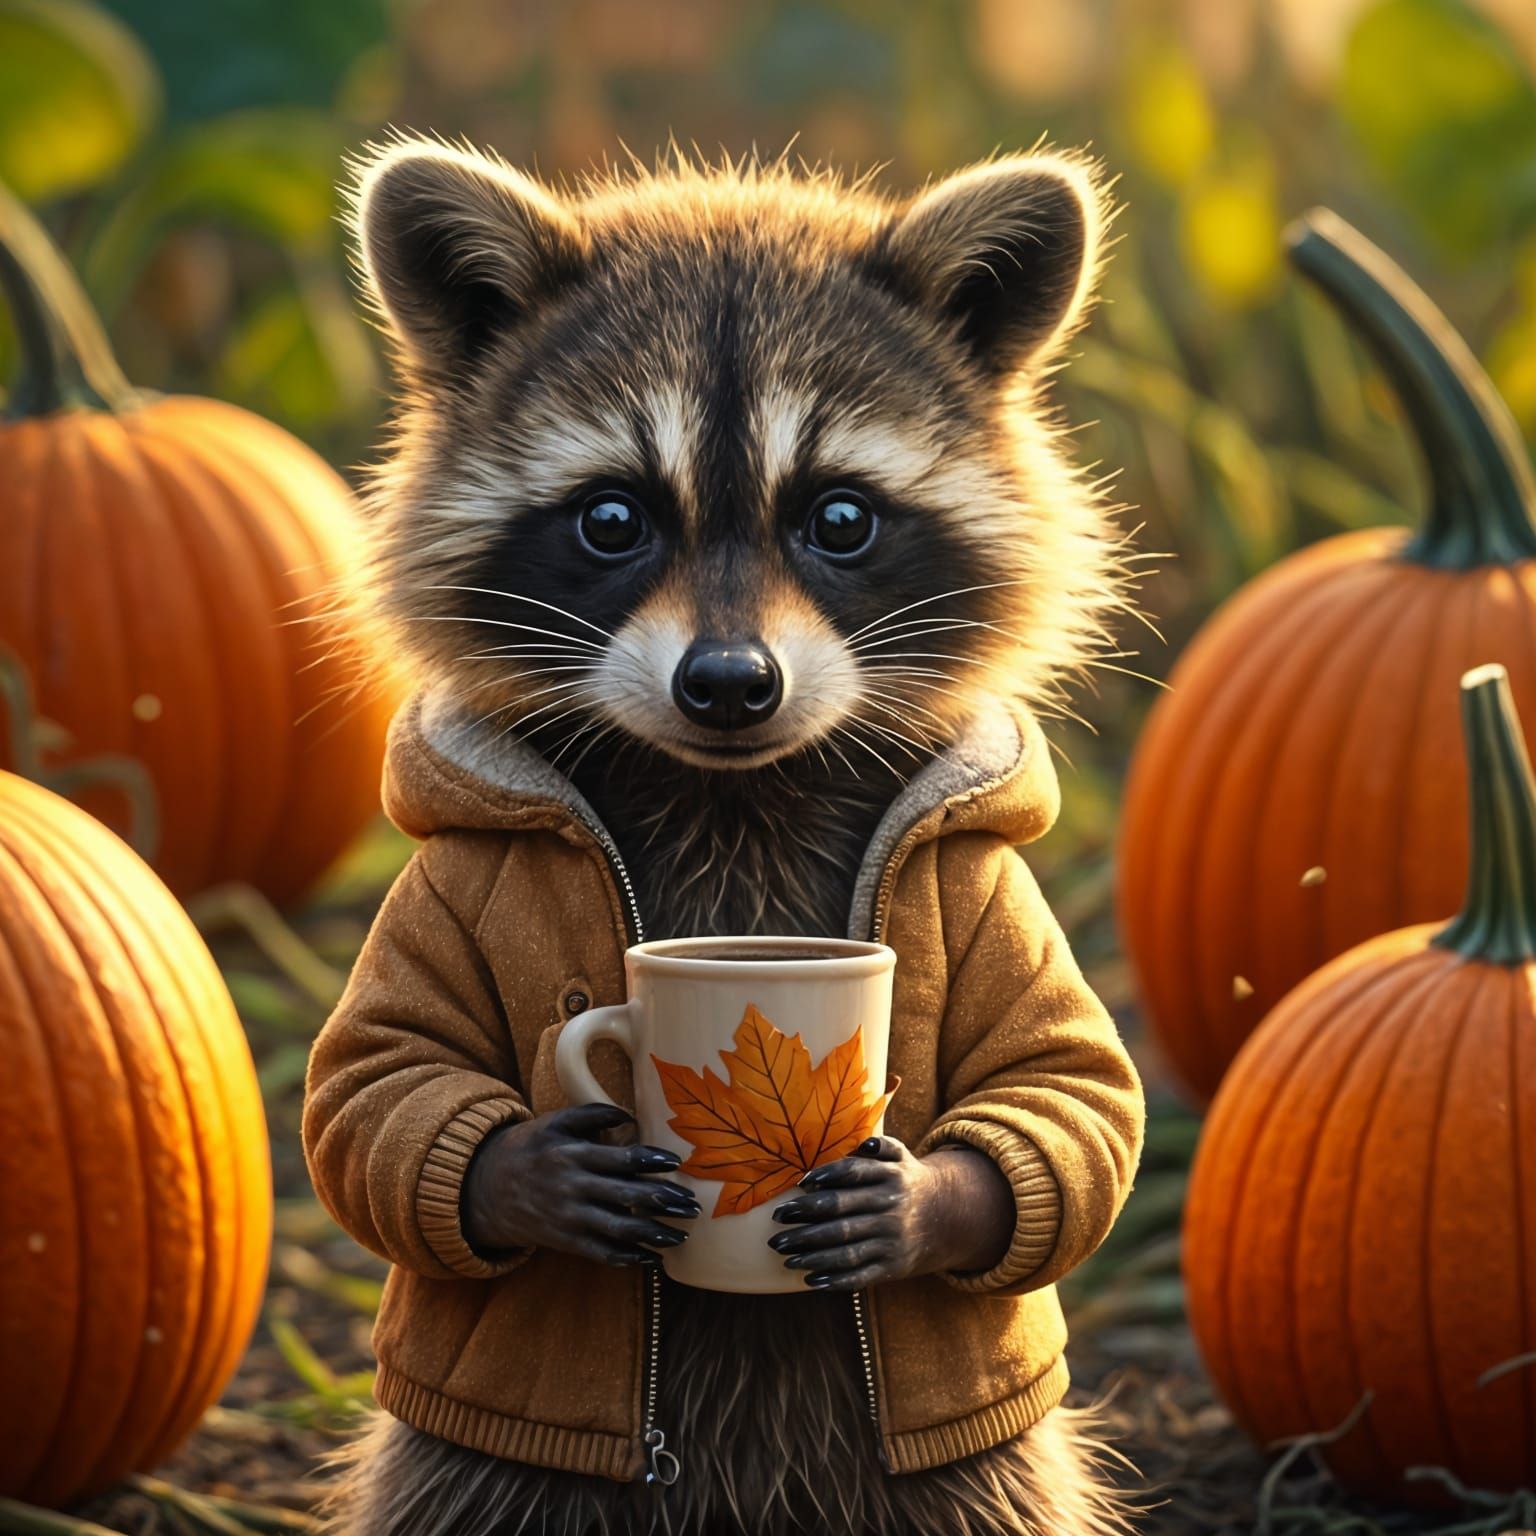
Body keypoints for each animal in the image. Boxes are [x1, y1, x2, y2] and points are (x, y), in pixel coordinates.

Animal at [327, 138, 1134, 1536]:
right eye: (612, 519)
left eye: (840, 518)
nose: (727, 685)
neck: (732, 786)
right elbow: (375, 1082)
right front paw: (530, 1173)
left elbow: (1067, 1081)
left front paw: (917, 1199)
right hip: (483, 1476)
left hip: (975, 1480)